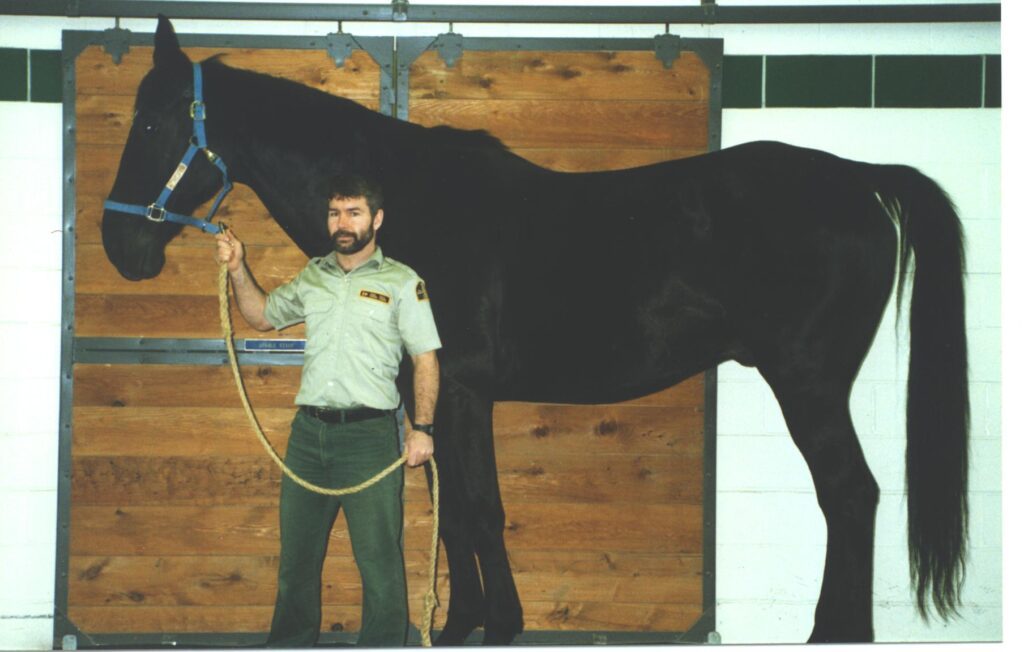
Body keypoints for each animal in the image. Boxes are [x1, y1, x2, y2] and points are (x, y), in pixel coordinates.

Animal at [99, 16, 969, 645]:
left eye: (152, 126)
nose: (119, 246)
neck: (409, 207)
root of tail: (861, 178)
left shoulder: (462, 393)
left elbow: (478, 510)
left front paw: (494, 626)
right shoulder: (435, 398)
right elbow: (453, 509)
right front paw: (463, 624)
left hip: (809, 384)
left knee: (851, 495)